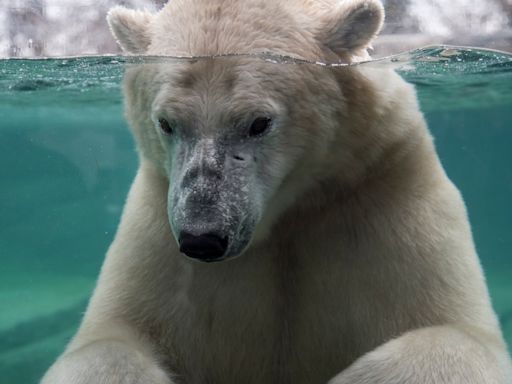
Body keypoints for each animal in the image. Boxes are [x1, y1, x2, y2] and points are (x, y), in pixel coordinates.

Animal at [42, 0, 510, 384]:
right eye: (167, 123)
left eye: (258, 122)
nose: (202, 238)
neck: (285, 213)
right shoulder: (158, 226)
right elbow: (109, 341)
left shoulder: (383, 193)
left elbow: (454, 333)